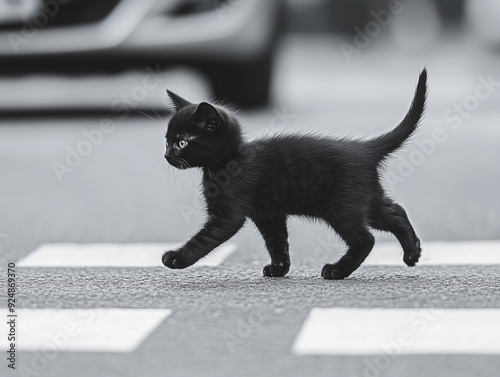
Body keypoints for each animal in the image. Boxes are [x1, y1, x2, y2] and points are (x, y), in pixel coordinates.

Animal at [161, 69, 426, 278]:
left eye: (182, 142)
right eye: (167, 140)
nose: (167, 155)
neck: (226, 162)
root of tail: (364, 149)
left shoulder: (228, 214)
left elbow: (205, 238)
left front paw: (177, 258)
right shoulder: (269, 215)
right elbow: (277, 241)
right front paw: (279, 268)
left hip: (341, 207)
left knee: (366, 239)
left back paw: (337, 270)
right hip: (366, 198)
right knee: (395, 212)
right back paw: (412, 252)